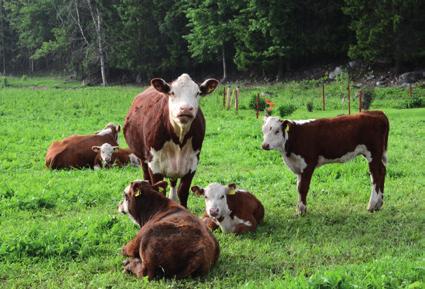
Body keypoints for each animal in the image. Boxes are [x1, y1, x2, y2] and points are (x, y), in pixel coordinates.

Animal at [123, 73, 219, 207]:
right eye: (172, 93)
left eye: (197, 93)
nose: (185, 109)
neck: (179, 138)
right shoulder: (154, 164)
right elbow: (159, 191)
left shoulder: (192, 163)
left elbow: (182, 192)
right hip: (143, 159)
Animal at [258, 110, 388, 214]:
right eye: (263, 130)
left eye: (277, 131)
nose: (265, 145)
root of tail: (377, 112)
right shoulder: (298, 167)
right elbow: (298, 188)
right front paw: (299, 209)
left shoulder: (308, 164)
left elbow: (303, 188)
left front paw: (302, 211)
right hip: (377, 155)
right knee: (382, 171)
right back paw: (379, 204)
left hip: (373, 153)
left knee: (376, 176)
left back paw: (372, 206)